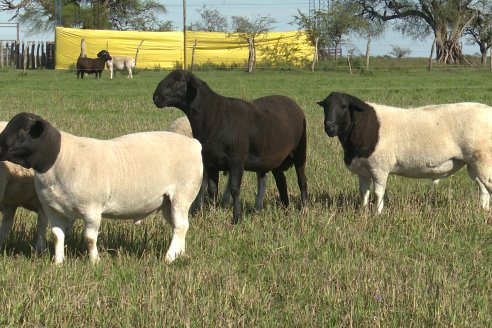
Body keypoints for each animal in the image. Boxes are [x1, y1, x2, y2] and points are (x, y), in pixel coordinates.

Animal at [154, 69, 308, 223]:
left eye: (179, 80)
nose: (155, 97)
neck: (213, 115)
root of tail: (292, 103)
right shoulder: (210, 162)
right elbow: (212, 189)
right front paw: (212, 215)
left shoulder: (236, 160)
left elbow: (234, 189)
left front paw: (237, 218)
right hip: (276, 158)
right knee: (281, 181)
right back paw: (285, 208)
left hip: (300, 151)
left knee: (302, 180)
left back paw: (304, 208)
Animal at [318, 91, 492, 213]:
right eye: (325, 107)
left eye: (343, 106)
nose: (329, 127)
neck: (363, 126)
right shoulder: (362, 170)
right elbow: (364, 193)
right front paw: (363, 212)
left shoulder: (379, 168)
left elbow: (378, 193)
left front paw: (377, 214)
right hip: (473, 164)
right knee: (483, 189)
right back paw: (483, 210)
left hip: (484, 160)